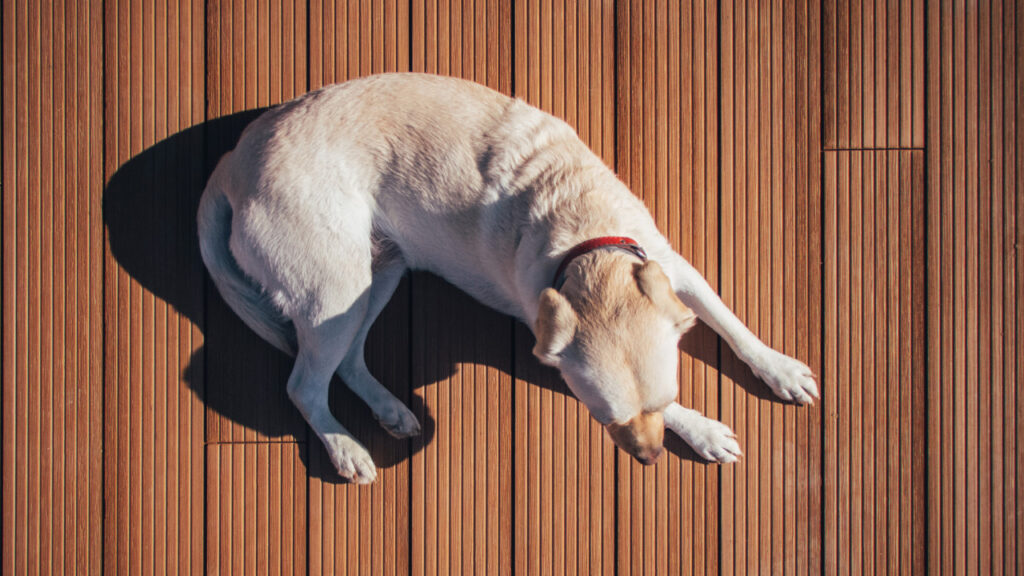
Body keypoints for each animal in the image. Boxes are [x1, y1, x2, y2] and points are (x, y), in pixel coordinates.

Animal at [195, 73, 819, 481]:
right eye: (606, 421)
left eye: (664, 398)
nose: (650, 459)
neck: (584, 234)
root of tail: (229, 163)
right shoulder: (559, 345)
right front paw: (704, 430)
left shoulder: (672, 267)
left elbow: (730, 322)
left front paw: (780, 370)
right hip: (333, 290)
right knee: (304, 384)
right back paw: (345, 448)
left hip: (376, 275)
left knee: (347, 362)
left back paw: (390, 410)